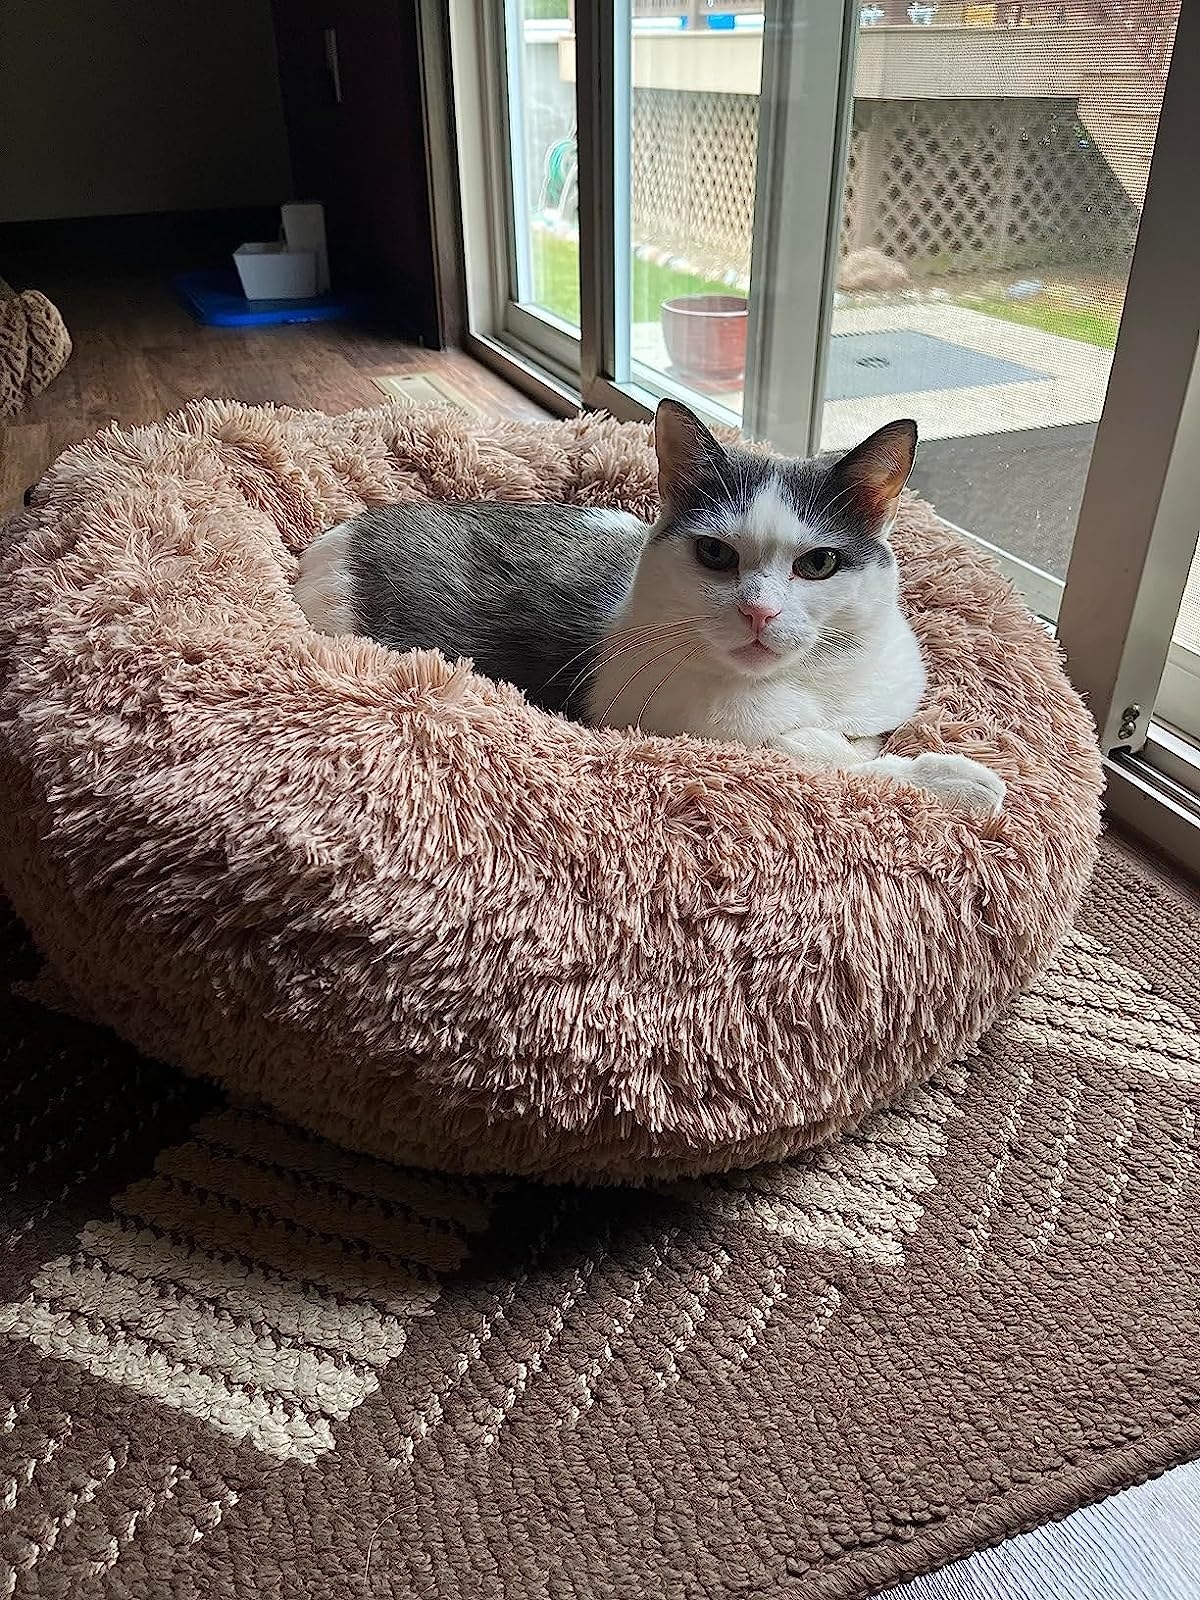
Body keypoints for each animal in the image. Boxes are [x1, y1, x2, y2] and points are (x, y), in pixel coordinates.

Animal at [299, 398, 1004, 819]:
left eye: (819, 564)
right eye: (715, 553)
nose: (759, 612)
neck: (813, 681)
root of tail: (326, 547)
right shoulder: (707, 730)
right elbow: (833, 761)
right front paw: (953, 781)